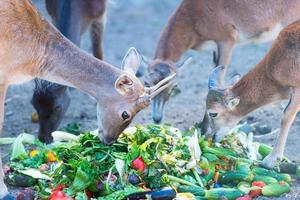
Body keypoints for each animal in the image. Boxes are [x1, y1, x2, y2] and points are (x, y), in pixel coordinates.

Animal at [31, 0, 106, 144]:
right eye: (34, 104)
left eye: (57, 107)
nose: (43, 138)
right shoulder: (52, 13)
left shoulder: (100, 14)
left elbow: (98, 51)